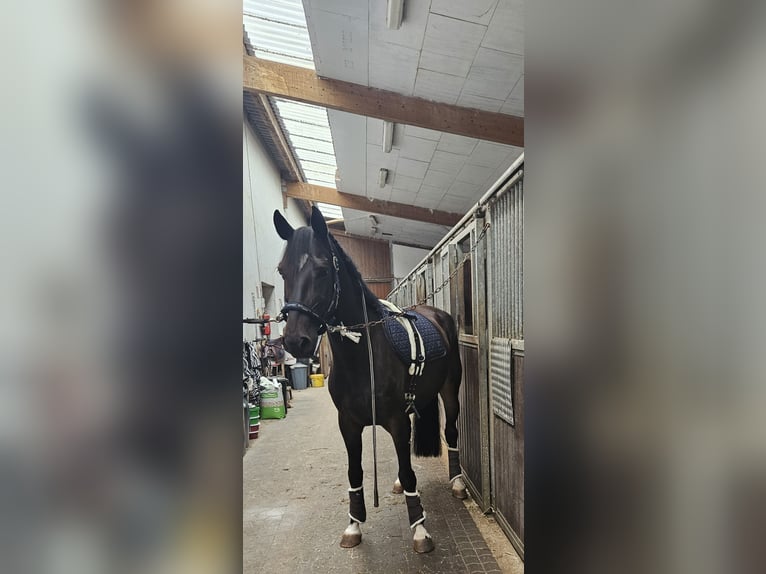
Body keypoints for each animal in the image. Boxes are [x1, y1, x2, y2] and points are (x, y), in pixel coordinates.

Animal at [276, 207, 468, 552]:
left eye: (322, 270)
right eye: (282, 271)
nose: (296, 340)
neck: (363, 355)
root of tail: (436, 313)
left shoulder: (395, 420)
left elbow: (410, 471)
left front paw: (420, 530)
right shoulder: (348, 423)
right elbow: (355, 472)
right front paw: (354, 525)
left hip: (449, 390)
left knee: (451, 431)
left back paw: (458, 482)